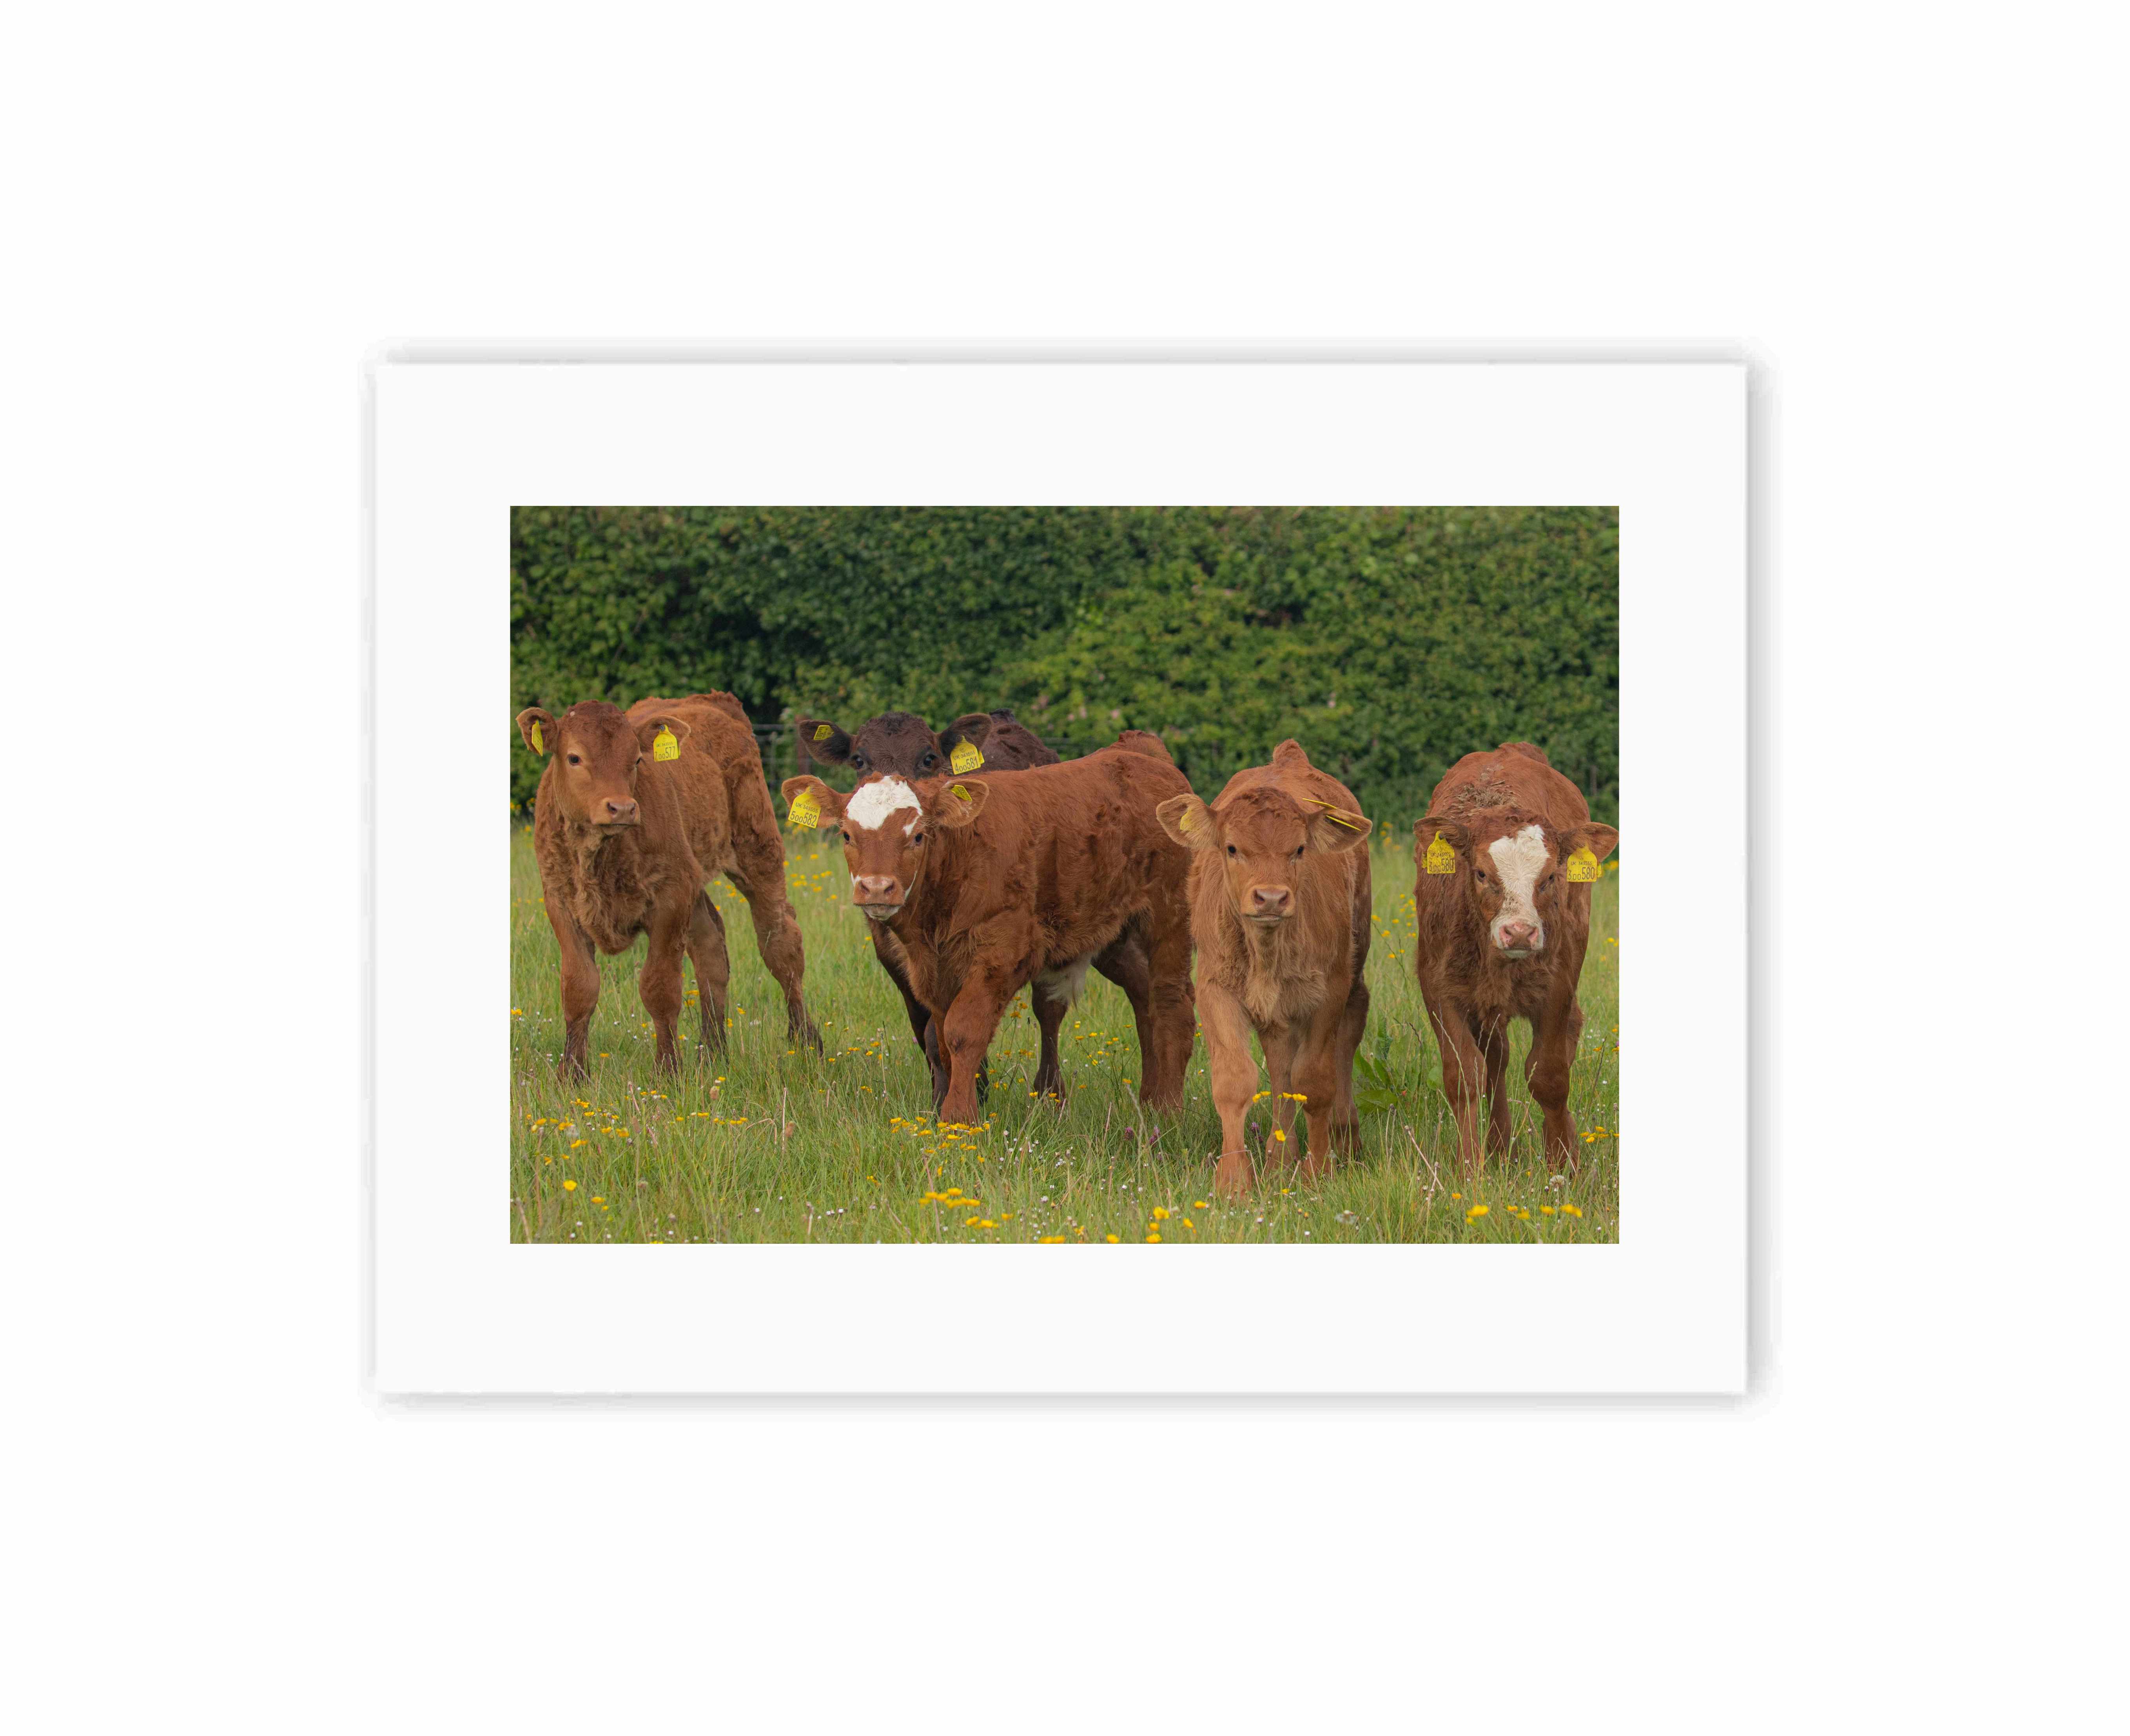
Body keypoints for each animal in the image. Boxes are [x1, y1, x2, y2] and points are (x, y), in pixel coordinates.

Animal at [514, 692, 820, 1079]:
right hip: (696, 879)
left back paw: (806, 1043)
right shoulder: (561, 903)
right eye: (574, 758)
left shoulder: (670, 900)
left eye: (637, 759)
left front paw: (667, 1070)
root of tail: (711, 700)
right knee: (710, 950)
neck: (599, 856)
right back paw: (713, 1053)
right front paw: (572, 1075)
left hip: (759, 855)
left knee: (782, 946)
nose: (622, 808)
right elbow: (579, 988)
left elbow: (659, 988)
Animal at [778, 735, 1195, 1127]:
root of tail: (1139, 751)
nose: (877, 887)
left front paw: (960, 1118)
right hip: (1112, 934)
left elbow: (964, 1031)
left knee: (1172, 1001)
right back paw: (1150, 1101)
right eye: (847, 835)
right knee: (1144, 998)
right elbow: (942, 1039)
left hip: (1169, 917)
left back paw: (1170, 1109)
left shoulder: (1003, 952)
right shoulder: (935, 970)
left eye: (917, 836)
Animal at [1154, 741, 1372, 1198]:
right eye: (1232, 848)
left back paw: (1342, 1141)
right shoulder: (1215, 990)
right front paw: (1234, 1181)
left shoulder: (1327, 994)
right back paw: (1278, 1161)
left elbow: (1315, 1082)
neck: (1266, 950)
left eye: (1300, 850)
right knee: (1280, 1072)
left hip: (1354, 973)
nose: (1271, 898)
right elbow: (1237, 1080)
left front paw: (1318, 1171)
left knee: (1344, 1041)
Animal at [1411, 741, 1618, 1174]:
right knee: (1496, 1060)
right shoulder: (1440, 989)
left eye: (1550, 877)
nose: (1520, 932)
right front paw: (1470, 1169)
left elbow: (1549, 1077)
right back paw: (1498, 1146)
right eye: (1481, 873)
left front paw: (1562, 1164)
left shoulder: (1557, 987)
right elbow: (1465, 1076)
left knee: (1566, 1037)